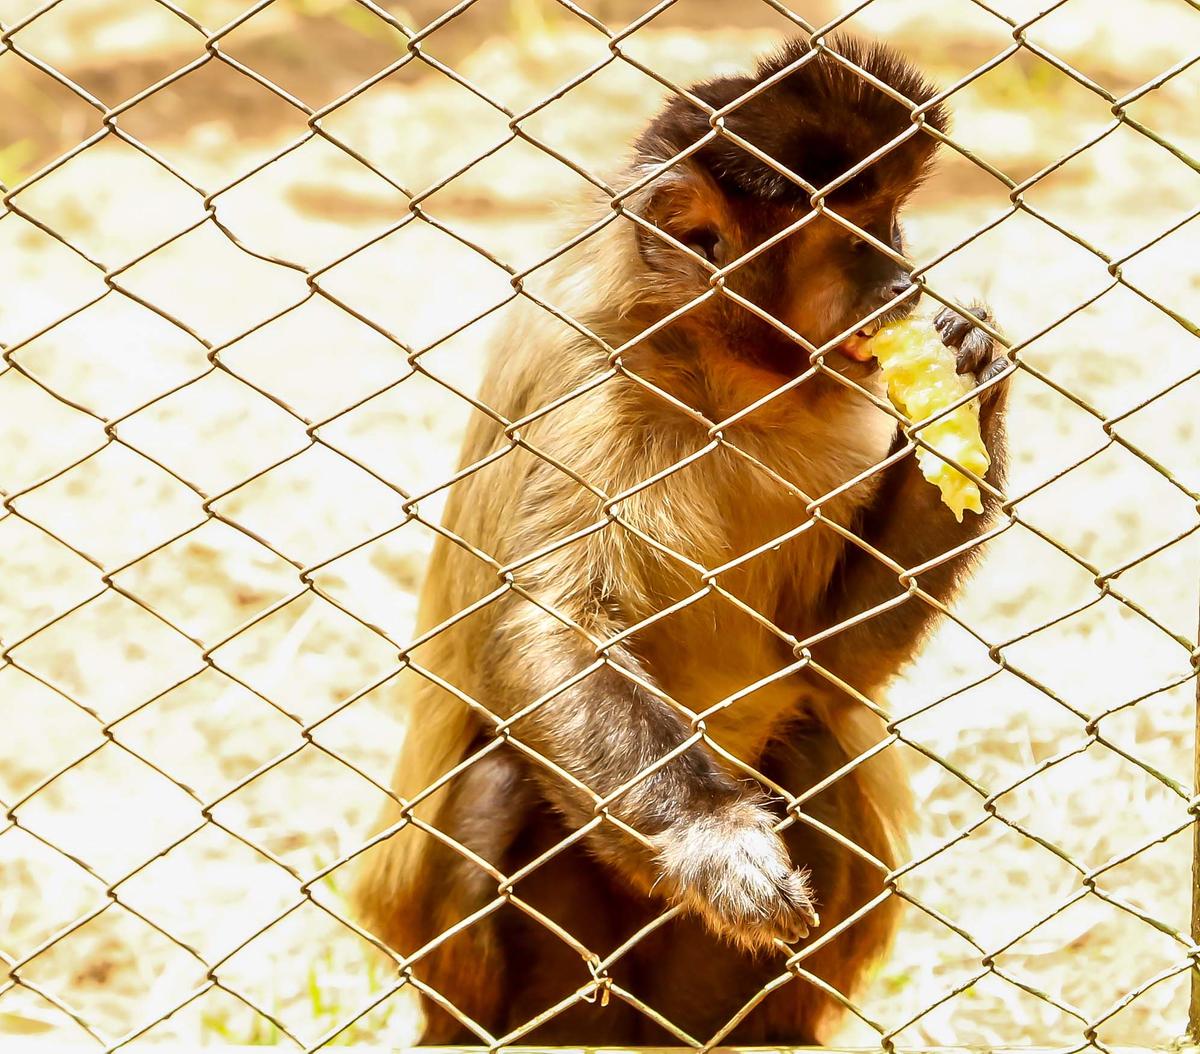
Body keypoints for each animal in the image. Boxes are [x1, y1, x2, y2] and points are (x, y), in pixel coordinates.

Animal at [350, 33, 1008, 1046]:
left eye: (893, 225)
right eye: (858, 242)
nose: (904, 282)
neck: (712, 370)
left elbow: (827, 663)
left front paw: (969, 373)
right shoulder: (597, 376)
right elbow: (554, 628)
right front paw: (707, 839)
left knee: (812, 740)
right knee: (500, 781)